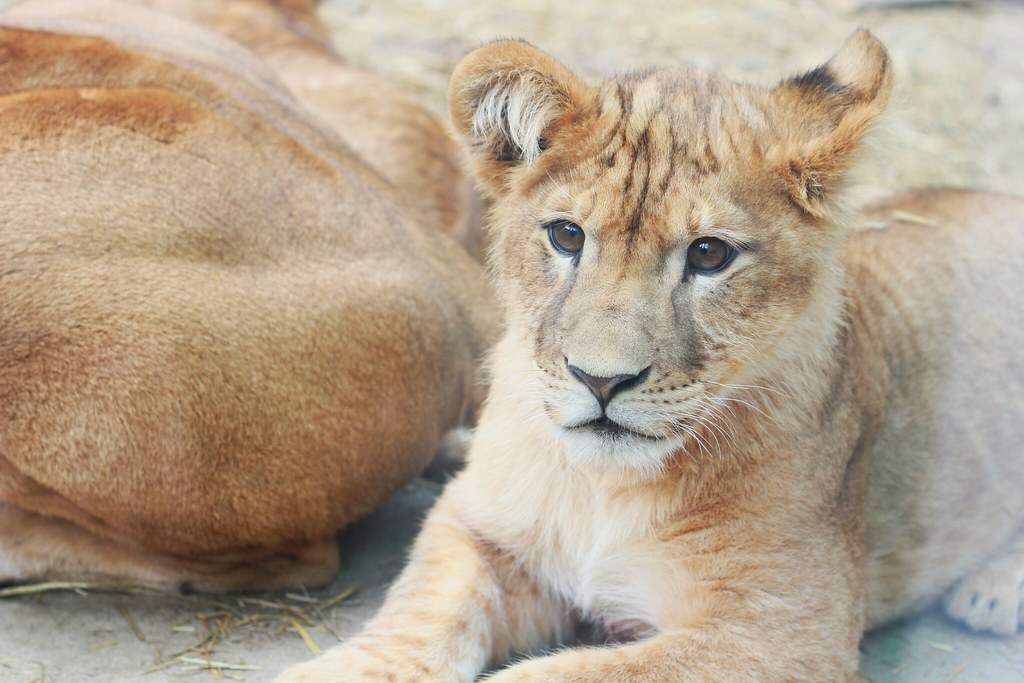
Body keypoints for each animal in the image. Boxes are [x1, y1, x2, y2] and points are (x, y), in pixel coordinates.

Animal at [278, 30, 1024, 682]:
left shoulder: (781, 632)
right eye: (567, 236)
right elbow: (422, 607)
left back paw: (995, 588)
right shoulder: (477, 527)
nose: (600, 381)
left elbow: (561, 675)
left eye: (710, 254)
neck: (599, 485)